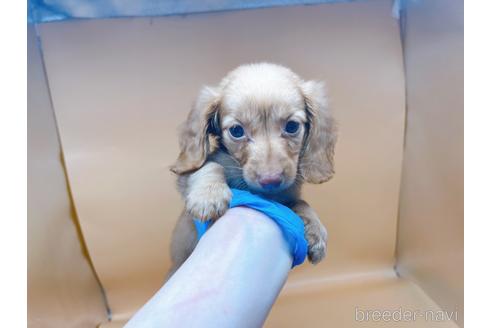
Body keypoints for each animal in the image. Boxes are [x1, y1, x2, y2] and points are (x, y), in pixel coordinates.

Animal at [168, 62, 334, 276]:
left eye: (292, 126)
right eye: (237, 131)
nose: (270, 180)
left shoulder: (287, 197)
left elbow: (302, 202)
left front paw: (316, 229)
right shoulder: (186, 177)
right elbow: (210, 165)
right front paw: (209, 196)